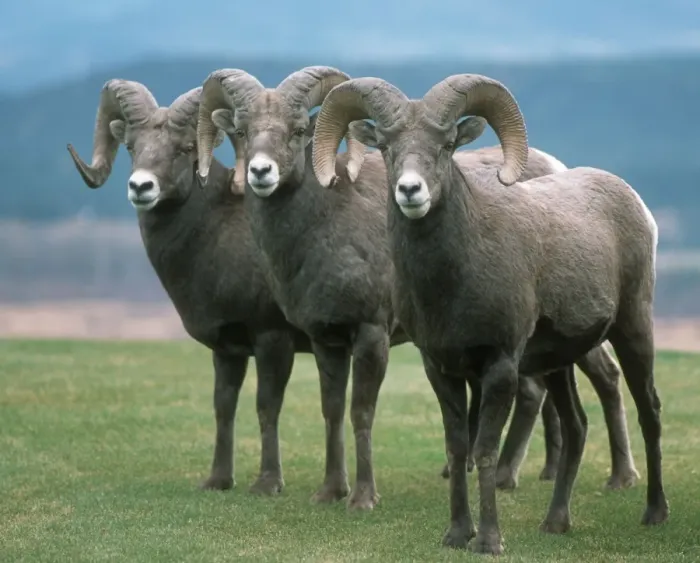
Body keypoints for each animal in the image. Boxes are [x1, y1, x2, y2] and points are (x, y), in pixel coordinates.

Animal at [66, 79, 318, 496]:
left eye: (183, 148)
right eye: (132, 146)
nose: (141, 187)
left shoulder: (273, 340)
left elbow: (266, 406)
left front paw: (267, 484)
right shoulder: (228, 351)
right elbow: (223, 408)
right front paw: (218, 481)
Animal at [195, 66, 638, 510]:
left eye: (300, 129)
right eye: (242, 131)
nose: (260, 172)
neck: (322, 227)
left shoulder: (370, 335)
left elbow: (361, 412)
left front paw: (363, 498)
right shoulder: (326, 340)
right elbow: (332, 410)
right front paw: (331, 491)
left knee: (604, 379)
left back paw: (614, 478)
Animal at [310, 73, 668, 554]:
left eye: (446, 145)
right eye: (385, 146)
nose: (410, 191)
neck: (451, 282)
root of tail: (635, 203)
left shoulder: (499, 368)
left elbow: (485, 451)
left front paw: (489, 541)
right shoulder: (441, 369)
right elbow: (458, 448)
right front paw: (457, 534)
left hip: (633, 331)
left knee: (649, 411)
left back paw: (655, 513)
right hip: (558, 364)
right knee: (576, 426)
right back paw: (555, 522)